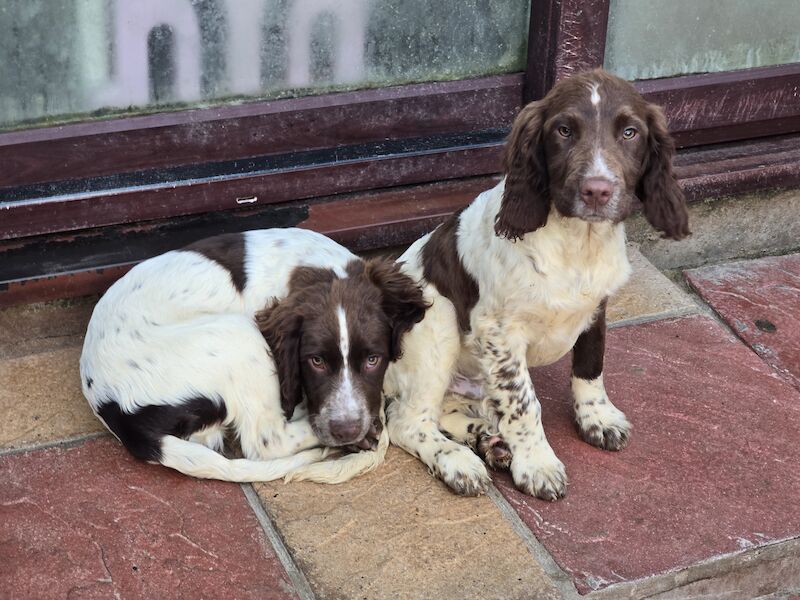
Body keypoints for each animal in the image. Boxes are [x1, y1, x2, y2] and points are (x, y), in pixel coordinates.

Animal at [80, 229, 428, 482]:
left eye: (373, 360)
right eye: (315, 361)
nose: (346, 430)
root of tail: (115, 411)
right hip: (239, 334)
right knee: (266, 441)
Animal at [384, 69, 692, 502]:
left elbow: (590, 366)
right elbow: (524, 404)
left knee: (452, 410)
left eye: (630, 132)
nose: (597, 190)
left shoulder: (596, 308)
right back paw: (460, 461)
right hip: (436, 329)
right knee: (406, 421)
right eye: (564, 130)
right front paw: (538, 464)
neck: (577, 243)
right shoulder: (499, 332)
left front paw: (597, 417)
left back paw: (490, 441)